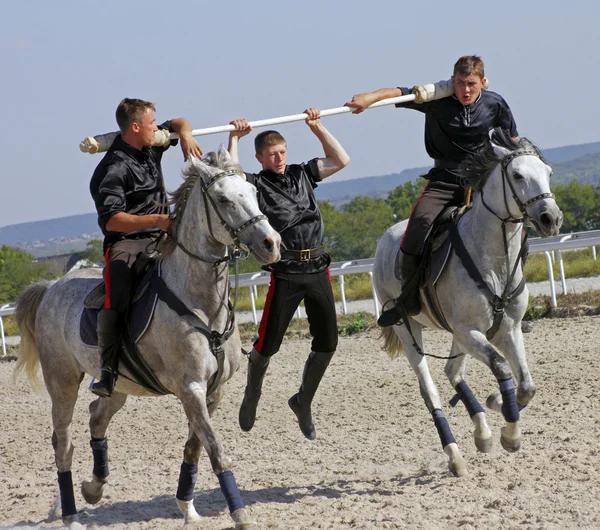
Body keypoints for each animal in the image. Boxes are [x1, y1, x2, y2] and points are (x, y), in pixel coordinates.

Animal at [14, 145, 282, 528]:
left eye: (253, 193)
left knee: (97, 415)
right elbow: (216, 450)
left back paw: (94, 487)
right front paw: (241, 515)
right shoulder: (191, 389)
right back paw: (71, 514)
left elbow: (195, 447)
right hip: (62, 380)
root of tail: (52, 286)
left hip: (118, 385)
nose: (271, 243)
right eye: (222, 199)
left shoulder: (213, 391)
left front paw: (188, 507)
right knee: (62, 442)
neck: (199, 301)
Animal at [372, 129, 564, 474]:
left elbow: (526, 385)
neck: (494, 260)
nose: (551, 218)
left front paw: (497, 406)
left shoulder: (507, 330)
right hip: (410, 331)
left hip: (458, 337)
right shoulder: (469, 332)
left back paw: (482, 433)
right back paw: (455, 455)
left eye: (548, 173)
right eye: (517, 175)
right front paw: (510, 435)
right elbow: (501, 367)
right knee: (430, 390)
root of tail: (385, 239)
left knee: (453, 372)